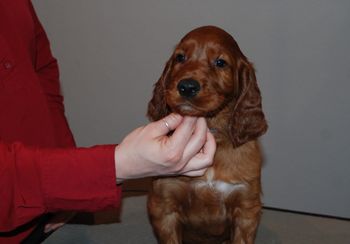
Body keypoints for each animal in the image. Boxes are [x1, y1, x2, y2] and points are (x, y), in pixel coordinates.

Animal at [146, 25, 266, 243]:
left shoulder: (247, 209)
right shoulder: (163, 206)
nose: (187, 87)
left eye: (220, 62)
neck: (212, 129)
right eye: (180, 57)